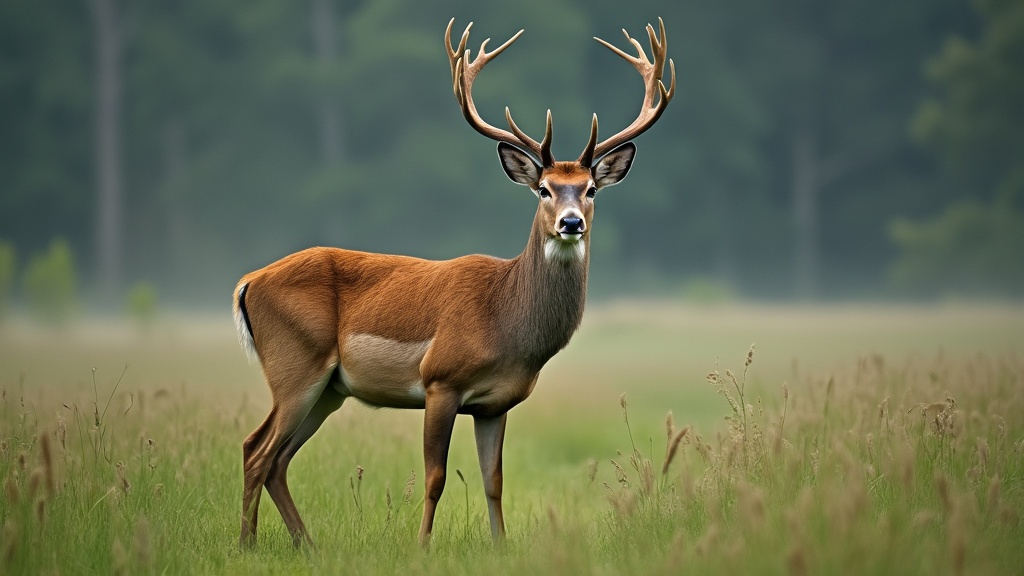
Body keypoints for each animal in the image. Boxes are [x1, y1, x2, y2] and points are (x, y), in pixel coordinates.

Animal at [235, 16, 675, 545]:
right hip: (295, 365)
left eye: (590, 189)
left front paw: (501, 546)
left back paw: (307, 546)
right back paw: (247, 545)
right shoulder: (439, 379)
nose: (570, 223)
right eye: (544, 189)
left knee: (277, 459)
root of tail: (248, 282)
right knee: (255, 448)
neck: (505, 319)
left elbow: (494, 481)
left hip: (328, 390)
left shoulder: (495, 403)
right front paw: (422, 546)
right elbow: (435, 477)